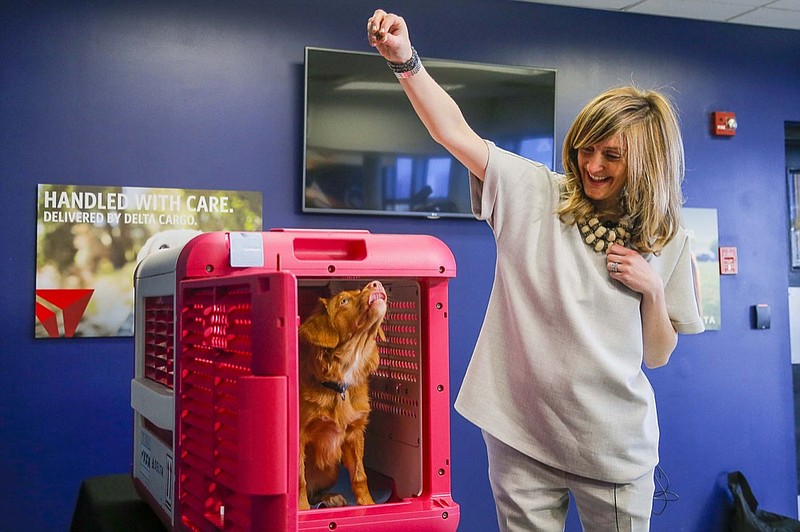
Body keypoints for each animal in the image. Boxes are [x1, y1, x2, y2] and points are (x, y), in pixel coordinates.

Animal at [298, 280, 390, 510]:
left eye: (359, 290)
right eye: (344, 301)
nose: (375, 282)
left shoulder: (355, 434)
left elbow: (360, 476)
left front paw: (369, 505)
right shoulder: (299, 436)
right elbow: (299, 479)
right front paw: (301, 511)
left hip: (329, 469)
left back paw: (329, 498)